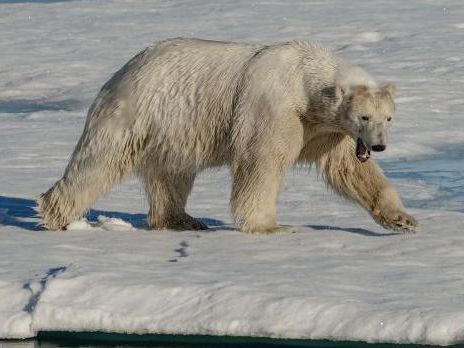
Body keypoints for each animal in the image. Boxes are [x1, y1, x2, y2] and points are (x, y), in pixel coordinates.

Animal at [38, 38, 418, 234]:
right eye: (364, 116)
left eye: (388, 117)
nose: (378, 145)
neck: (305, 80)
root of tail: (121, 72)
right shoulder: (274, 108)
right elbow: (261, 162)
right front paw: (271, 226)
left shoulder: (327, 129)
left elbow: (350, 171)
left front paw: (403, 220)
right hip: (136, 113)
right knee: (97, 164)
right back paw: (56, 215)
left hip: (173, 131)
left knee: (172, 174)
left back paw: (182, 220)